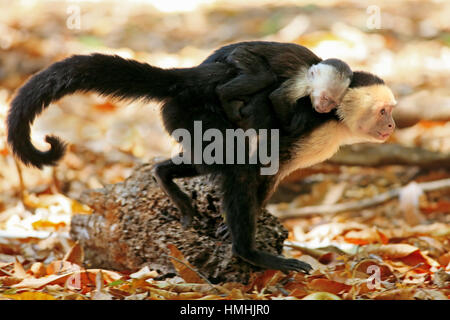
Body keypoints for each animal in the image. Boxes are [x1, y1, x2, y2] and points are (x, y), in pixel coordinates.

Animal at [216, 47, 354, 131]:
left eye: (333, 103)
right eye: (325, 98)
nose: (325, 109)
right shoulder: (301, 81)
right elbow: (278, 97)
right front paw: (289, 127)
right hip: (240, 55)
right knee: (264, 77)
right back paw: (223, 96)